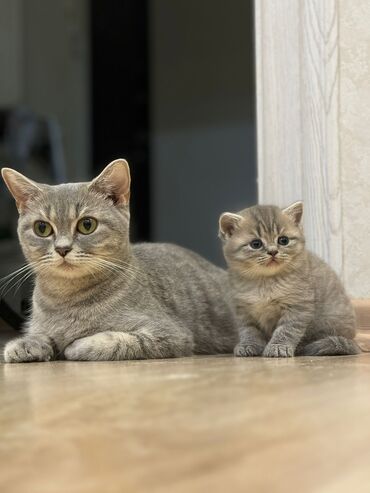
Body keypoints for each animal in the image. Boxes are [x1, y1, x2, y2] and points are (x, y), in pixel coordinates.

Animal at [2, 160, 237, 364]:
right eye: (42, 228)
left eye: (87, 225)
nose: (62, 249)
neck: (66, 300)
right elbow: (40, 334)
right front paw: (25, 345)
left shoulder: (169, 334)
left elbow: (114, 340)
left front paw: (76, 345)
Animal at [218, 200, 360, 358]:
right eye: (256, 244)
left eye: (283, 240)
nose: (273, 251)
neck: (265, 281)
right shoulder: (243, 310)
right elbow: (249, 330)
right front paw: (248, 344)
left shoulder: (298, 306)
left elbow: (287, 329)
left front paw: (278, 346)